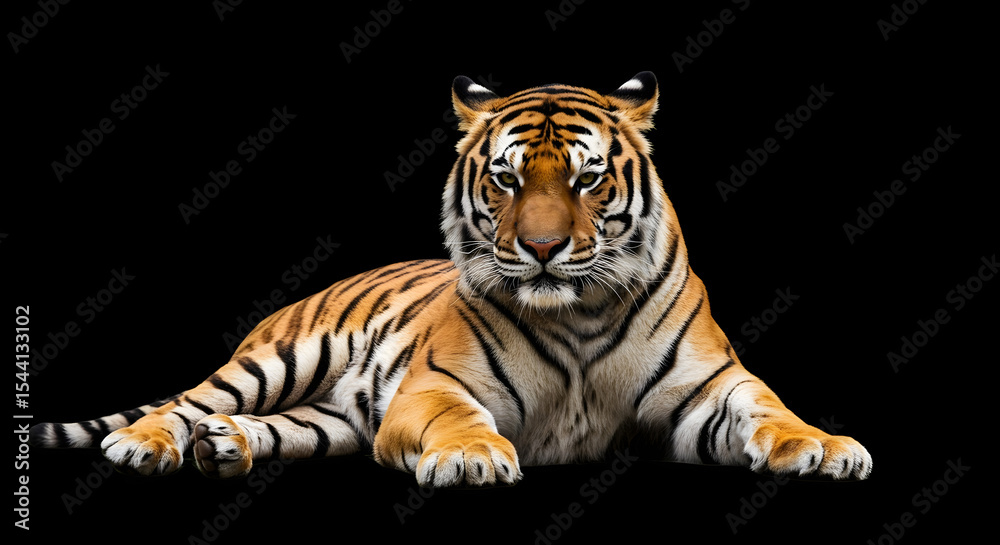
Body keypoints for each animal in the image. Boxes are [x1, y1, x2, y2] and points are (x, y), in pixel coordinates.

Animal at [30, 72, 872, 487]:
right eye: (504, 178)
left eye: (586, 177)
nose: (542, 246)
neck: (580, 313)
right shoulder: (433, 388)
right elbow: (461, 418)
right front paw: (471, 458)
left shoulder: (708, 389)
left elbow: (769, 407)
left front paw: (822, 446)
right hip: (280, 358)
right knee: (184, 400)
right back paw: (147, 443)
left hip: (333, 418)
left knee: (281, 425)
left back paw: (227, 444)